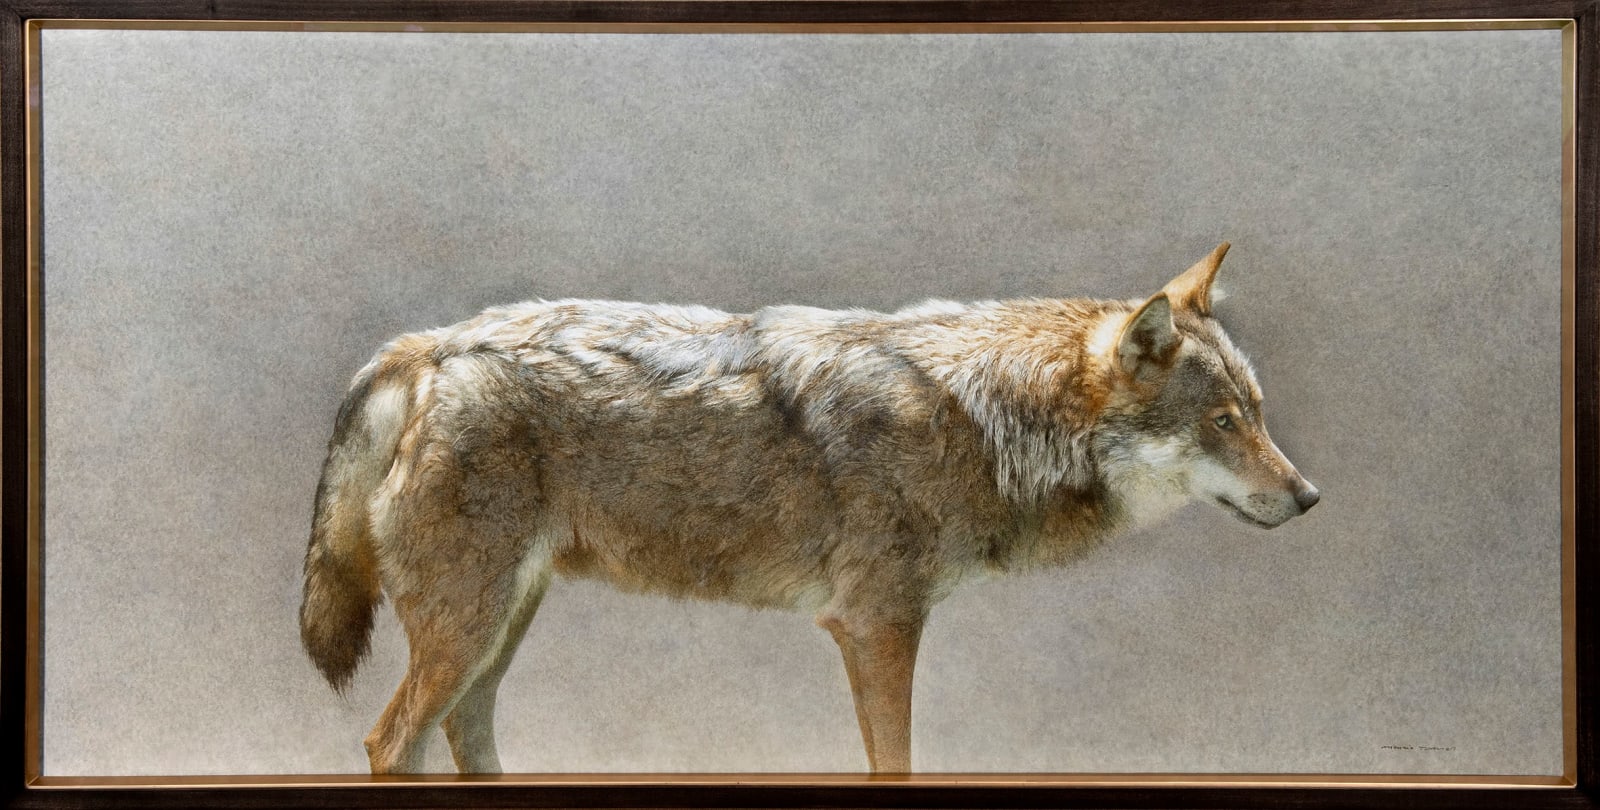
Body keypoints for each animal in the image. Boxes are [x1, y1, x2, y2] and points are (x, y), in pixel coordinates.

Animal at [299, 242, 1318, 775]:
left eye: (1259, 414)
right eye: (1223, 422)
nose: (1310, 497)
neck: (980, 416)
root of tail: (426, 347)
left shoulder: (880, 628)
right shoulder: (876, 626)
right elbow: (893, 760)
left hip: (499, 625)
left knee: (458, 732)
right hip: (470, 626)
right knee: (390, 741)